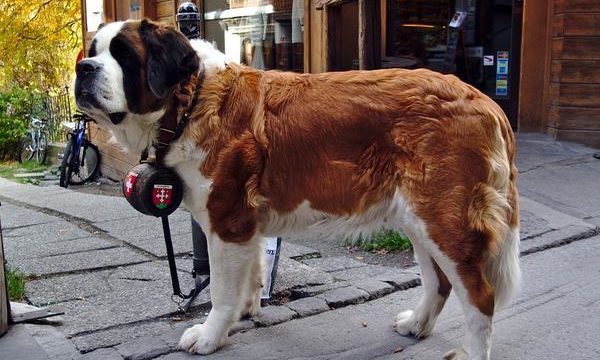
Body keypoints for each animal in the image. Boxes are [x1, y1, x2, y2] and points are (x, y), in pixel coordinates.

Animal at [75, 20, 520, 360]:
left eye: (124, 55)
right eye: (93, 50)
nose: (83, 68)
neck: (192, 99)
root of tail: (483, 99)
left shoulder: (227, 220)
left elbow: (220, 290)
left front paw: (210, 335)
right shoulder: (246, 225)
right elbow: (251, 273)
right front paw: (247, 311)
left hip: (444, 221)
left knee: (480, 296)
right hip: (419, 219)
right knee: (438, 282)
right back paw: (416, 324)